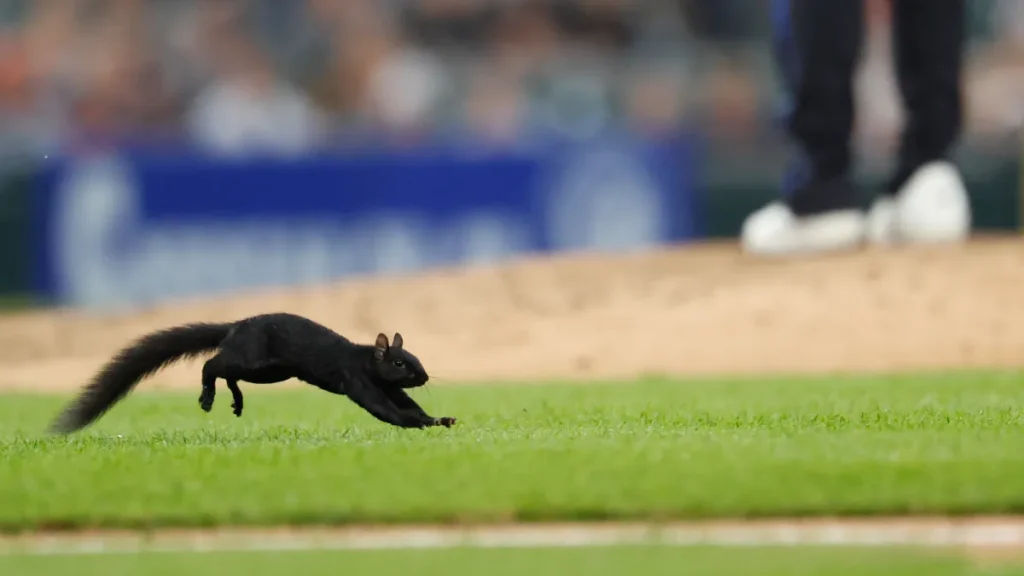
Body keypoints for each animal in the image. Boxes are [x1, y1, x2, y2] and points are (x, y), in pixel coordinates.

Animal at [50, 312, 457, 434]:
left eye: (415, 358)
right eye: (400, 363)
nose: (424, 377)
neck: (366, 362)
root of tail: (234, 326)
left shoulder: (388, 388)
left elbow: (404, 404)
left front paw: (440, 419)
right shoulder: (357, 381)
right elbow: (385, 410)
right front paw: (420, 424)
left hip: (271, 372)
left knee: (227, 372)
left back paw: (236, 400)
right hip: (255, 360)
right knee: (212, 364)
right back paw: (208, 395)